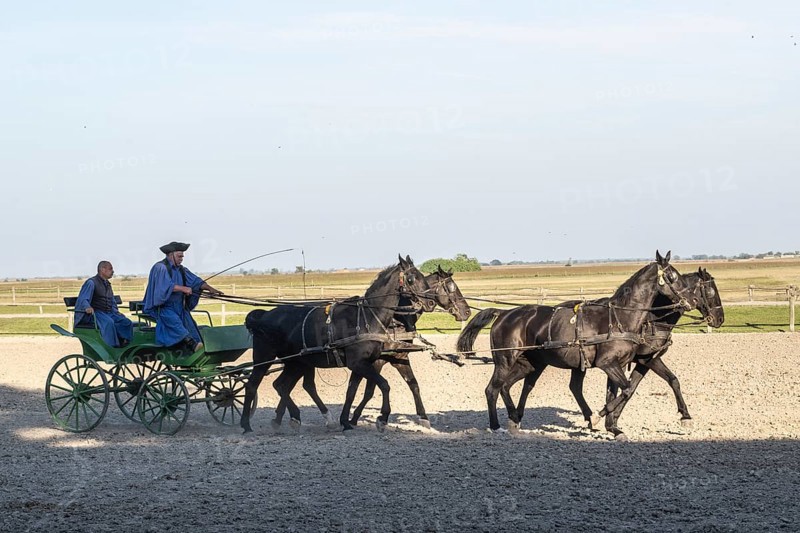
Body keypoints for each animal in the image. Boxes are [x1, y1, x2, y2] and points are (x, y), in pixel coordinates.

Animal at [241, 255, 433, 433]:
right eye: (411, 278)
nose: (430, 302)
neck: (366, 318)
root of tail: (264, 315)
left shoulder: (363, 363)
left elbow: (352, 391)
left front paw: (346, 421)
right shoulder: (359, 363)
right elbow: (384, 385)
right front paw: (382, 418)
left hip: (295, 362)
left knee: (282, 385)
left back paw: (294, 417)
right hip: (264, 357)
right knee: (252, 386)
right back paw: (246, 425)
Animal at [269, 265, 471, 430]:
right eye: (451, 287)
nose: (467, 311)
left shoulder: (398, 357)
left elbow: (412, 385)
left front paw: (423, 417)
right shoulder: (376, 361)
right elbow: (371, 390)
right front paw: (365, 418)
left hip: (302, 362)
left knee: (296, 385)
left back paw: (284, 417)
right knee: (294, 385)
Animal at [456, 251, 698, 439]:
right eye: (672, 276)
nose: (692, 301)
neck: (620, 318)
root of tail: (504, 313)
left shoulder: (621, 363)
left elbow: (620, 391)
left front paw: (612, 426)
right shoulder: (607, 363)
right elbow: (627, 388)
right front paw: (600, 419)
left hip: (529, 363)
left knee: (506, 387)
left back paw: (514, 419)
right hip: (505, 360)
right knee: (492, 389)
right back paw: (496, 425)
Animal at [511, 267, 724, 436]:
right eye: (710, 290)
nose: (720, 319)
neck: (651, 319)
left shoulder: (644, 361)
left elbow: (667, 381)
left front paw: (685, 416)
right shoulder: (645, 360)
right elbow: (631, 388)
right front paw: (610, 419)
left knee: (571, 387)